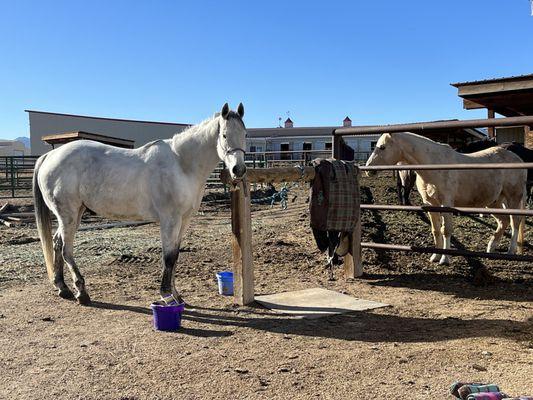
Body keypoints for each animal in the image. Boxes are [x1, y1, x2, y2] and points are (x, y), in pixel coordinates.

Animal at [34, 102, 246, 304]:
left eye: (244, 133)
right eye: (224, 135)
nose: (239, 170)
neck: (181, 164)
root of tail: (49, 156)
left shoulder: (184, 220)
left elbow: (175, 255)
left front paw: (177, 295)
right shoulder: (170, 220)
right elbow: (168, 257)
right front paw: (167, 295)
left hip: (76, 213)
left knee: (57, 243)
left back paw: (63, 288)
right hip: (67, 214)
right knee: (66, 250)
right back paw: (81, 292)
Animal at [364, 131, 524, 264]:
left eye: (382, 147)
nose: (368, 169)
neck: (433, 164)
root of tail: (518, 159)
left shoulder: (446, 203)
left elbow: (446, 230)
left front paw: (445, 259)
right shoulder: (430, 204)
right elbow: (436, 230)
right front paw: (435, 256)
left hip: (513, 198)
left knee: (515, 222)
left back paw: (510, 251)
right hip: (494, 202)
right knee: (504, 220)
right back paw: (491, 247)